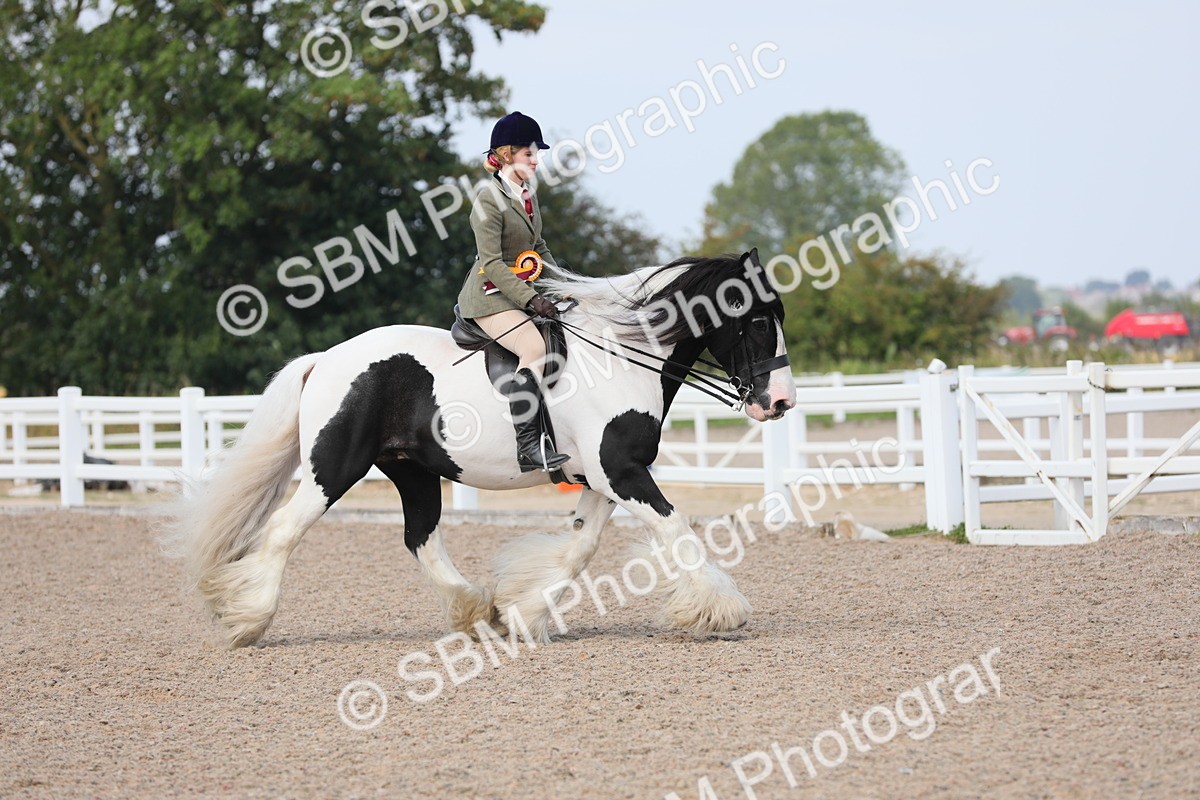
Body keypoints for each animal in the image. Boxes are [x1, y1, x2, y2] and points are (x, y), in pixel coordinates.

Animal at [164, 248, 797, 647]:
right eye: (756, 320)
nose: (782, 402)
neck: (622, 355)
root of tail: (325, 360)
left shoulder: (605, 478)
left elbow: (580, 547)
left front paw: (522, 612)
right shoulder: (621, 473)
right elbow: (675, 528)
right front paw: (719, 610)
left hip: (412, 470)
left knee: (420, 538)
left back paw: (478, 610)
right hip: (333, 468)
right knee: (283, 532)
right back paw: (247, 621)